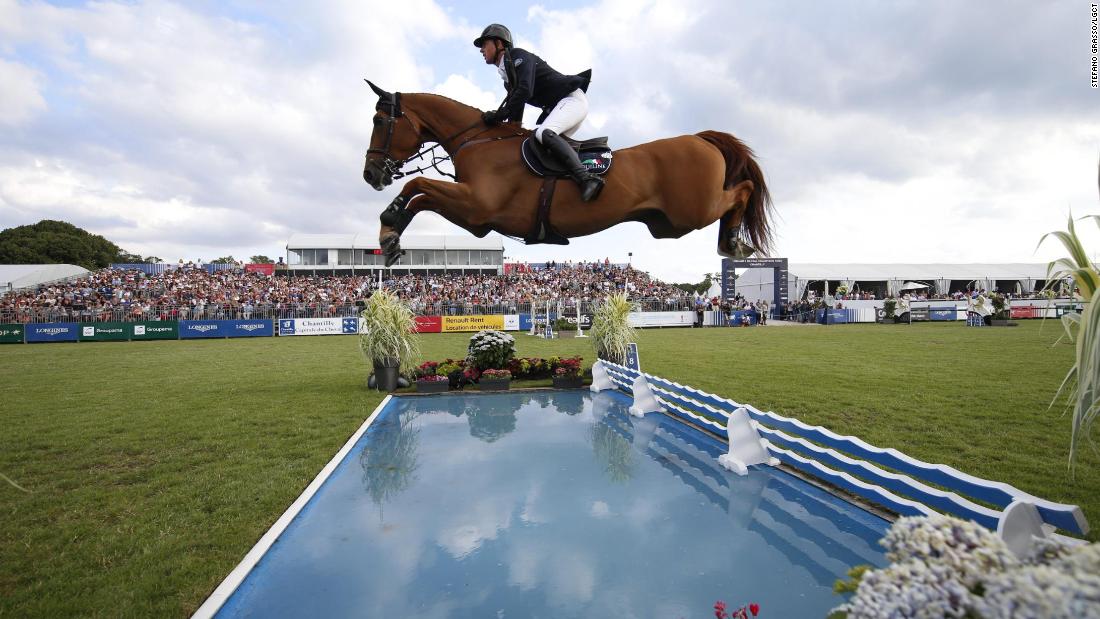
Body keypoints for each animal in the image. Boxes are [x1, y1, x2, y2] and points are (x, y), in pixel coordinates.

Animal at [363, 81, 774, 267]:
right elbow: (420, 196)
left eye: (380, 121)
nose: (370, 174)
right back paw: (733, 243)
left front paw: (387, 225)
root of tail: (699, 138)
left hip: (692, 211)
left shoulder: (476, 206)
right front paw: (391, 238)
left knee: (743, 189)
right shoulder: (475, 218)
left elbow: (417, 185)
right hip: (669, 224)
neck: (477, 141)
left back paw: (734, 242)